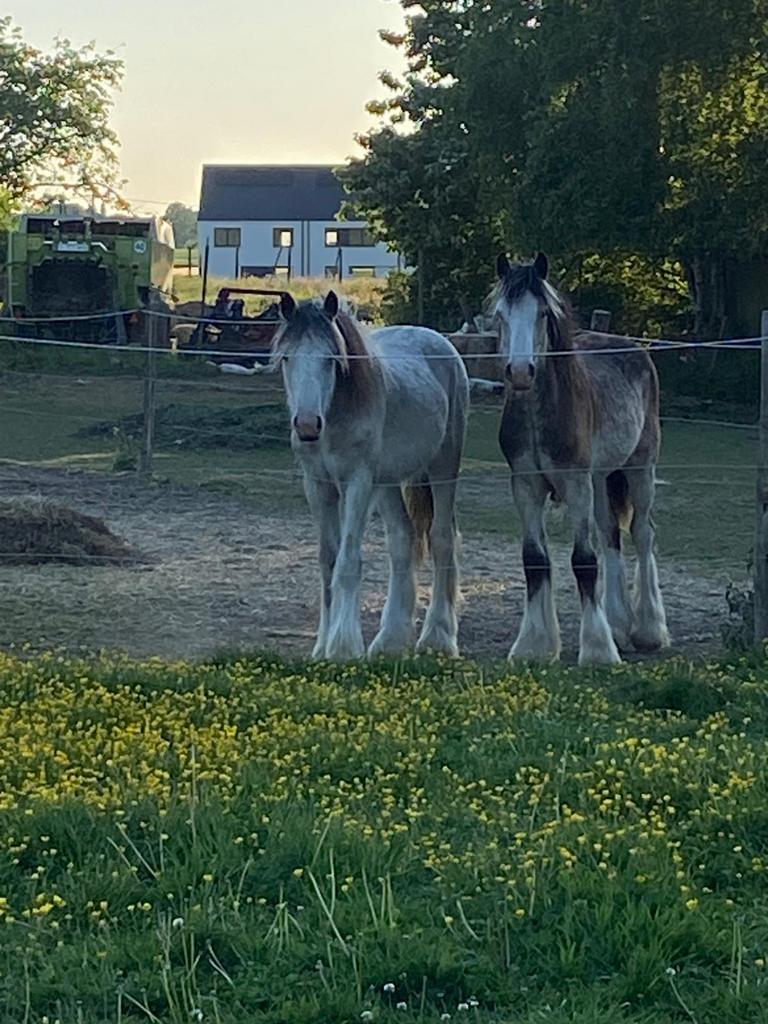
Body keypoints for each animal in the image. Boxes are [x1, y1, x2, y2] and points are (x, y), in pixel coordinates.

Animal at [273, 291, 469, 661]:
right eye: (287, 358)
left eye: (331, 359)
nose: (307, 426)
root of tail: (438, 341)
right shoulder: (317, 486)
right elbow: (328, 561)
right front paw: (322, 645)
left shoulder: (358, 483)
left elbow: (348, 561)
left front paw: (343, 646)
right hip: (387, 483)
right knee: (403, 539)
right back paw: (390, 639)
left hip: (443, 466)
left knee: (441, 539)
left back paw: (437, 637)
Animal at [492, 253, 670, 665]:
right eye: (501, 314)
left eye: (543, 313)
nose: (520, 372)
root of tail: (635, 348)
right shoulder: (526, 485)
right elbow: (534, 559)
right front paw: (533, 646)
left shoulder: (576, 485)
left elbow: (584, 561)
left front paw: (598, 650)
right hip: (603, 478)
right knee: (611, 535)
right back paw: (619, 626)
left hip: (639, 469)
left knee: (642, 533)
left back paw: (647, 630)